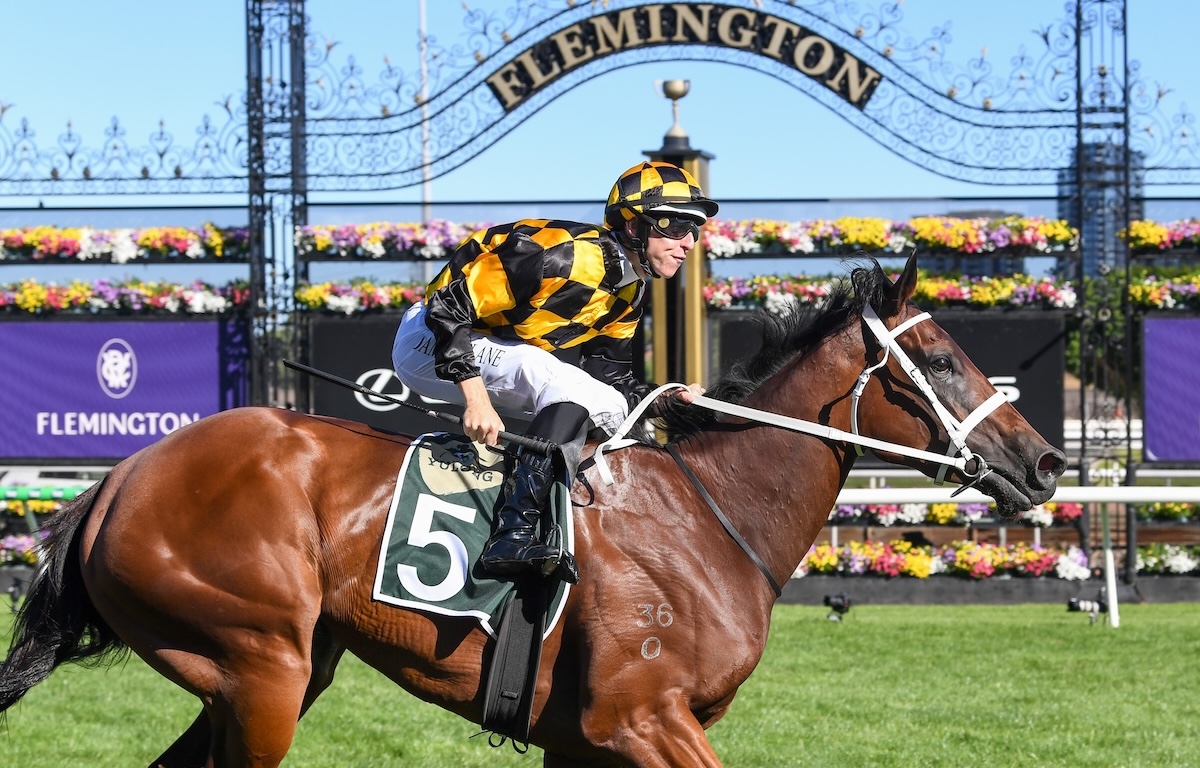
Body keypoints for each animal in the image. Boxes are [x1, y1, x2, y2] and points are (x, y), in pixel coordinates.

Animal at [0, 258, 1070, 768]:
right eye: (940, 360)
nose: (1047, 462)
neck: (710, 517)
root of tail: (120, 478)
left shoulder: (582, 741)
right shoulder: (637, 718)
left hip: (265, 675)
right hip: (258, 665)